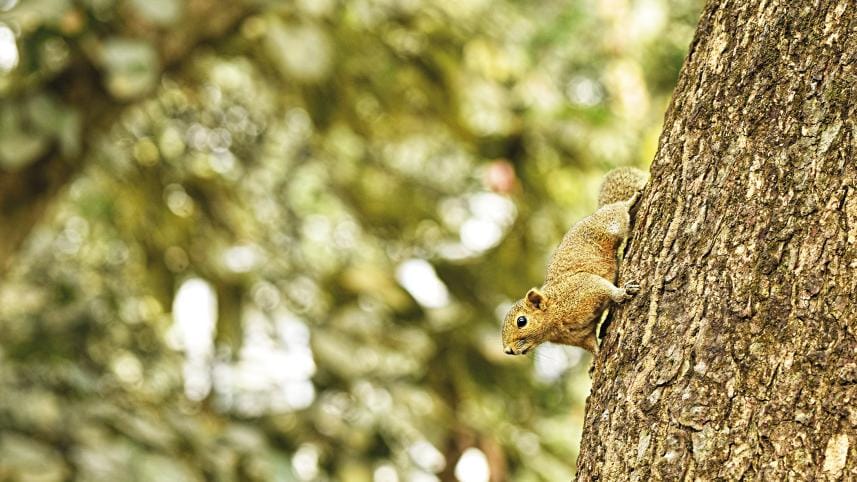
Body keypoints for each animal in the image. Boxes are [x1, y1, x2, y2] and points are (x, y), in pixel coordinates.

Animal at [501, 167, 648, 355]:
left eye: (521, 321)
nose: (508, 351)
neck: (554, 313)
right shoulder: (581, 336)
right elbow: (593, 345)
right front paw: (598, 357)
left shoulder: (582, 287)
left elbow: (603, 287)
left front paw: (623, 292)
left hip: (608, 225)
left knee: (616, 210)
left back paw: (631, 200)